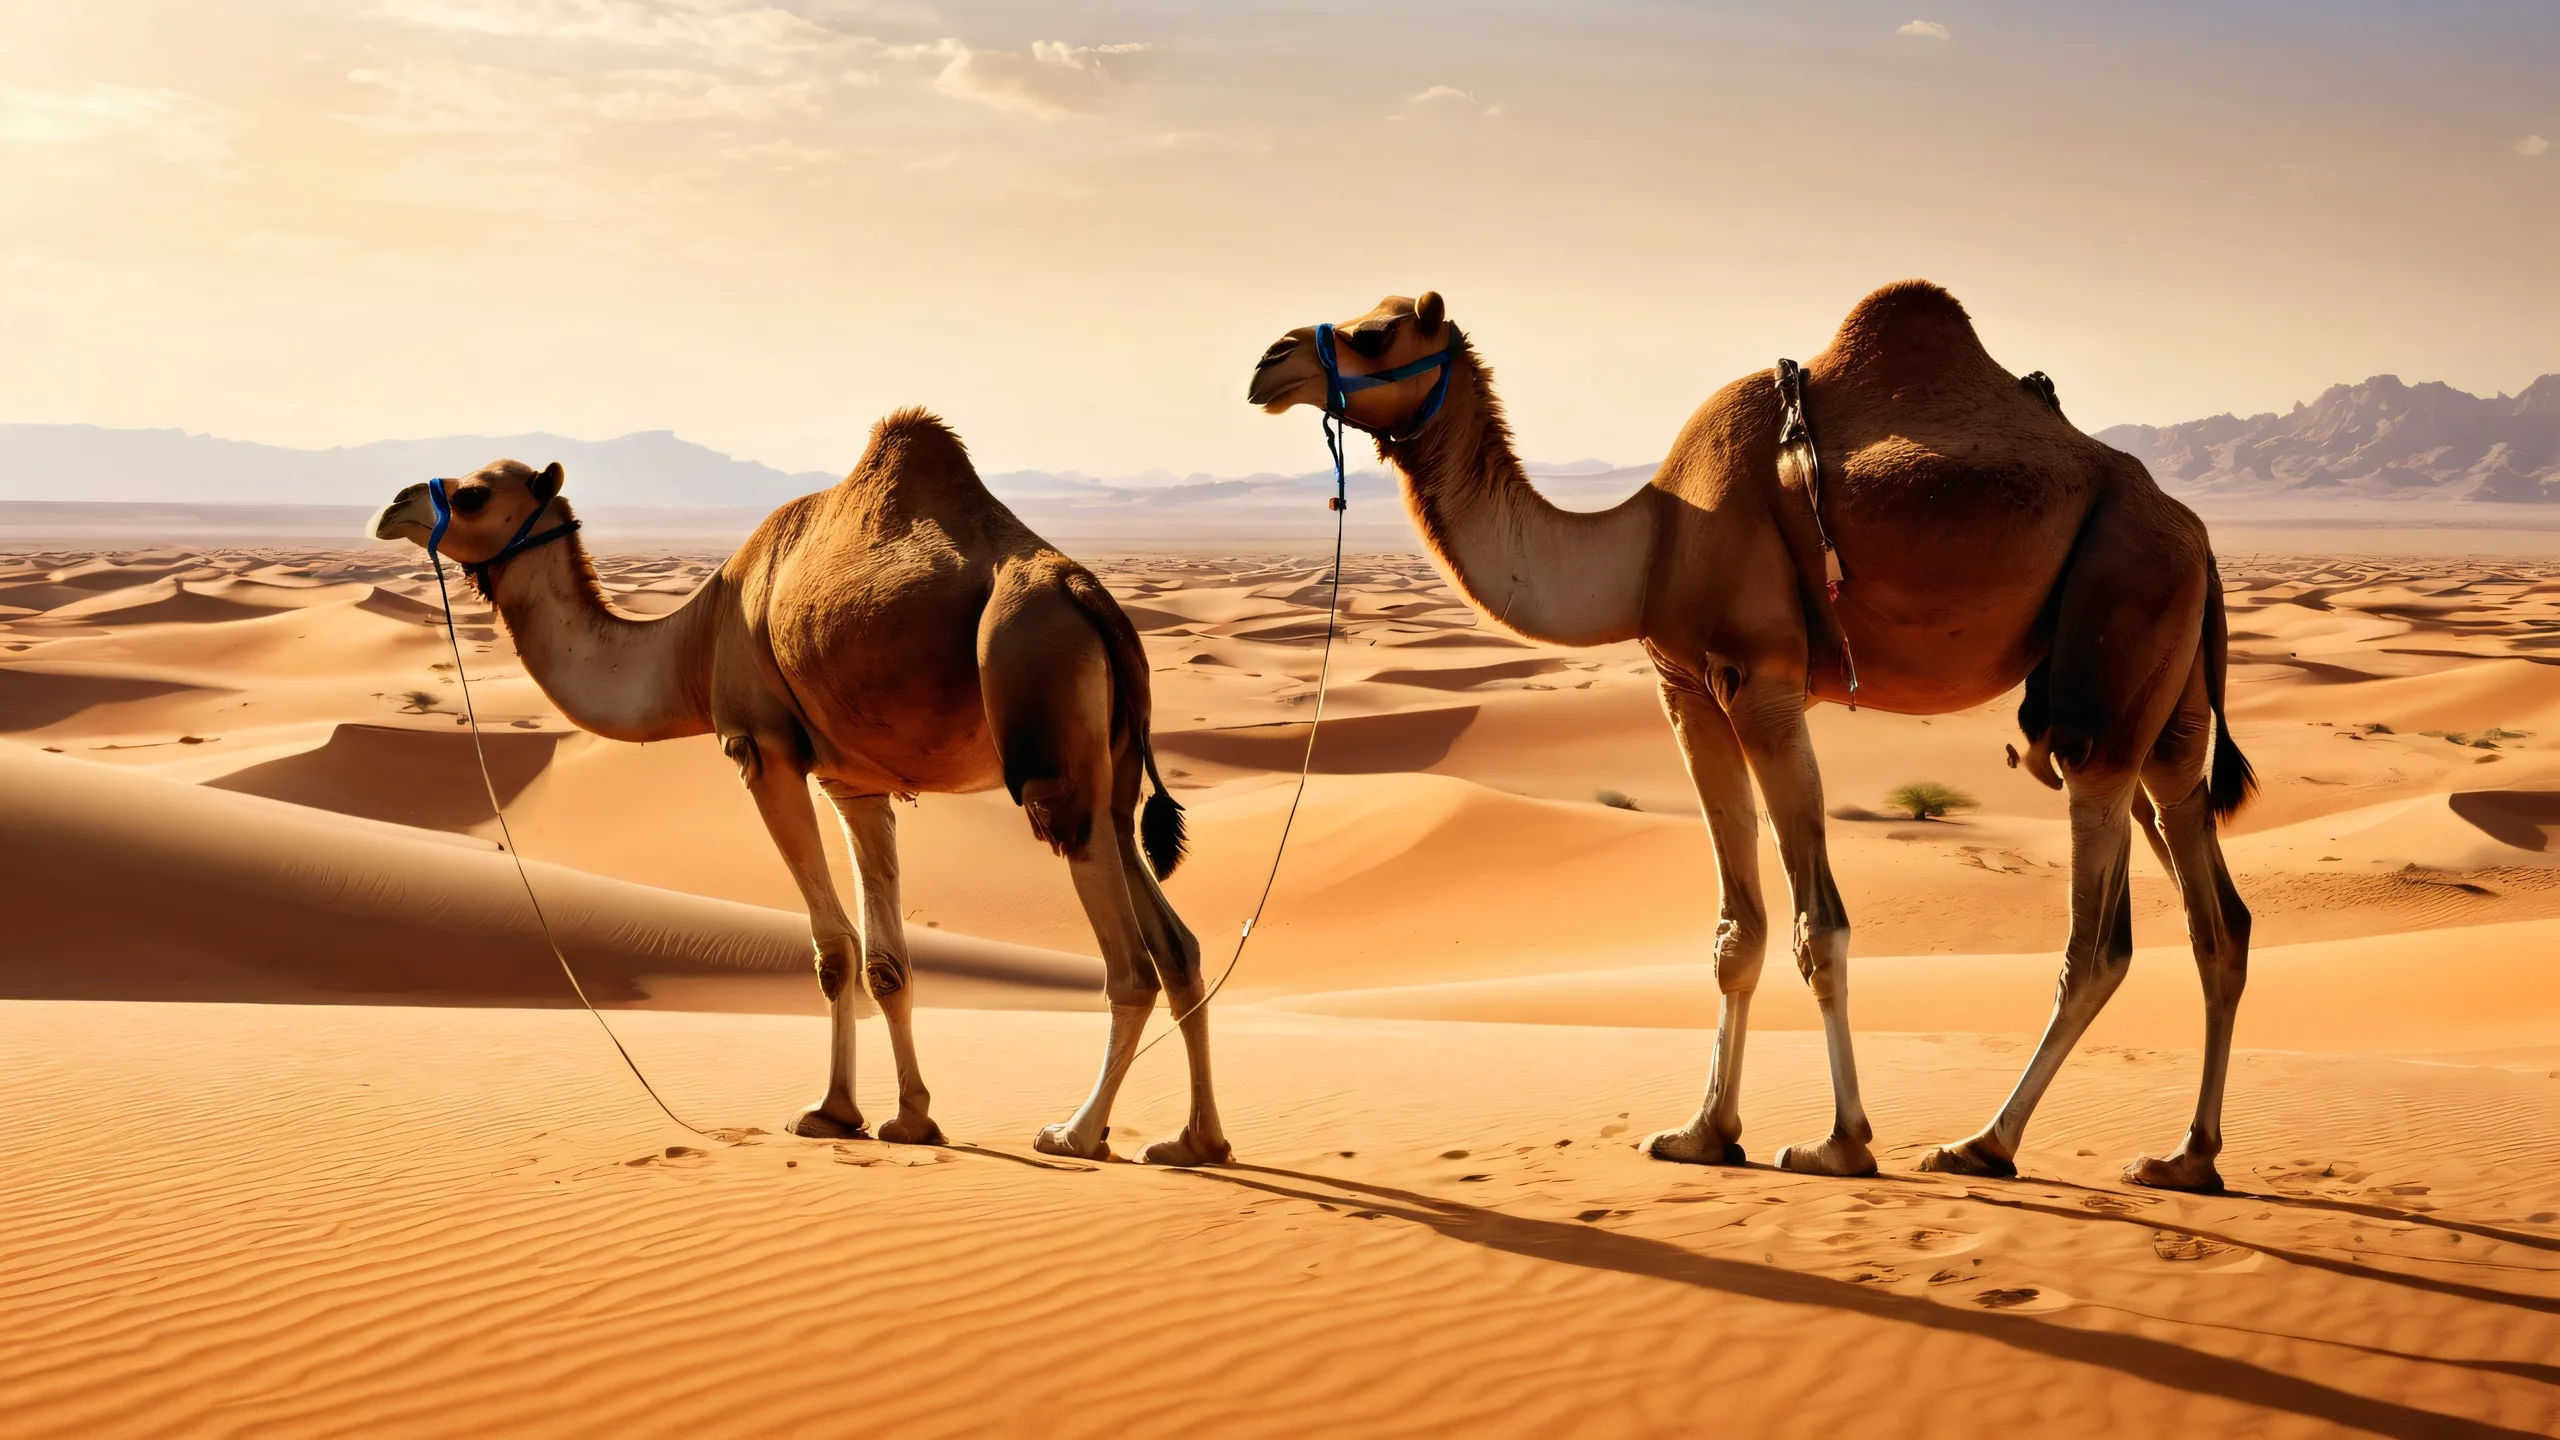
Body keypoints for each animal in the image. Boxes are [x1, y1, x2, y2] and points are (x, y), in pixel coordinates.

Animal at [370, 409, 1231, 1166]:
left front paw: (830, 1112)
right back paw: (1193, 1142)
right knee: (1178, 945)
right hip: (1110, 772)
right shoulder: (857, 783)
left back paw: (1077, 1133)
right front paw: (908, 1120)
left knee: (1131, 962)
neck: (691, 643)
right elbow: (887, 961)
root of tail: (1090, 598)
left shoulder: (763, 751)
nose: (393, 504)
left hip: (1046, 740)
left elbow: (834, 950)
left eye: (474, 493)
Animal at [1247, 284, 2255, 1191]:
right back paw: (2187, 1158)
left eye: (1377, 335)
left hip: (2116, 640)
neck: (1650, 541)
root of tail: (2198, 533)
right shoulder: (1688, 690)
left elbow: (1821, 925)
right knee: (2218, 917)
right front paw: (1701, 1134)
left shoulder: (1763, 685)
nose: (1270, 362)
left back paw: (1984, 1144)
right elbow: (1740, 929)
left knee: (2101, 939)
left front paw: (1841, 1144)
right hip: (2167, 707)